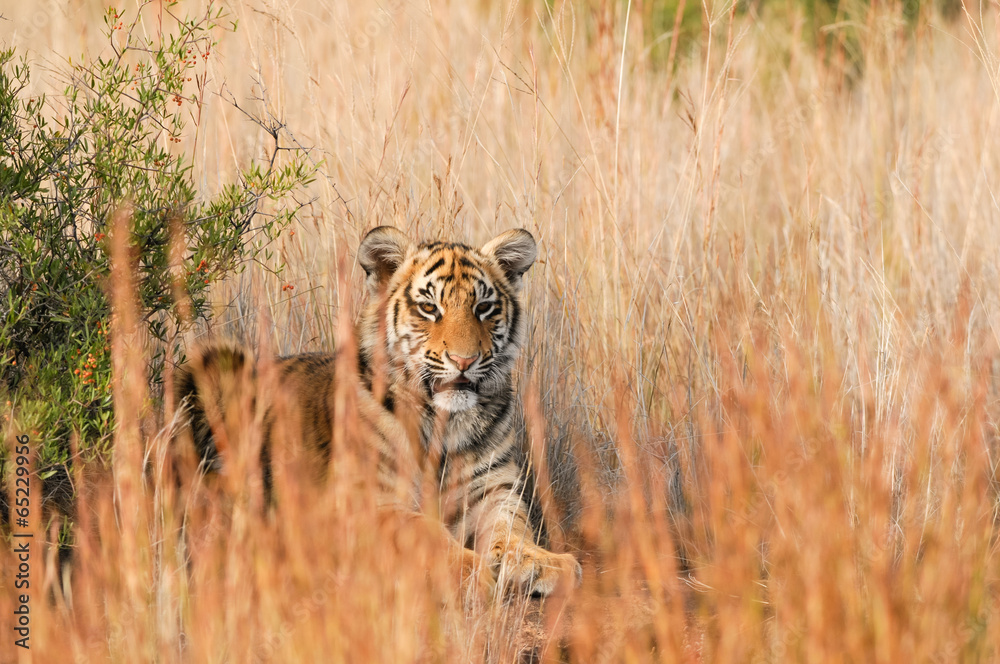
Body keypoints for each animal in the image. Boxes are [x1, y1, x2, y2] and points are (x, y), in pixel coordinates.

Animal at [174, 226, 582, 598]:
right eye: (429, 308)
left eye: (484, 308)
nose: (464, 361)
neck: (444, 423)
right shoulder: (370, 499)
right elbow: (424, 532)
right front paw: (471, 569)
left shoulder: (492, 490)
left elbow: (512, 528)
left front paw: (542, 562)